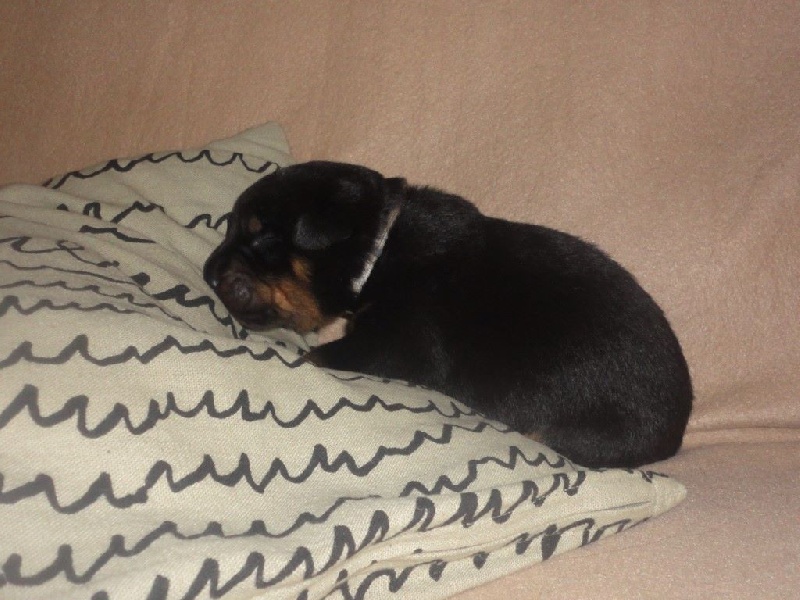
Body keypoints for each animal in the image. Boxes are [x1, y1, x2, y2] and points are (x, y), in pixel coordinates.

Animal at [203, 161, 692, 468]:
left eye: (263, 238)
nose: (207, 274)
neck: (380, 251)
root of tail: (676, 431)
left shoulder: (395, 345)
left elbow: (318, 356)